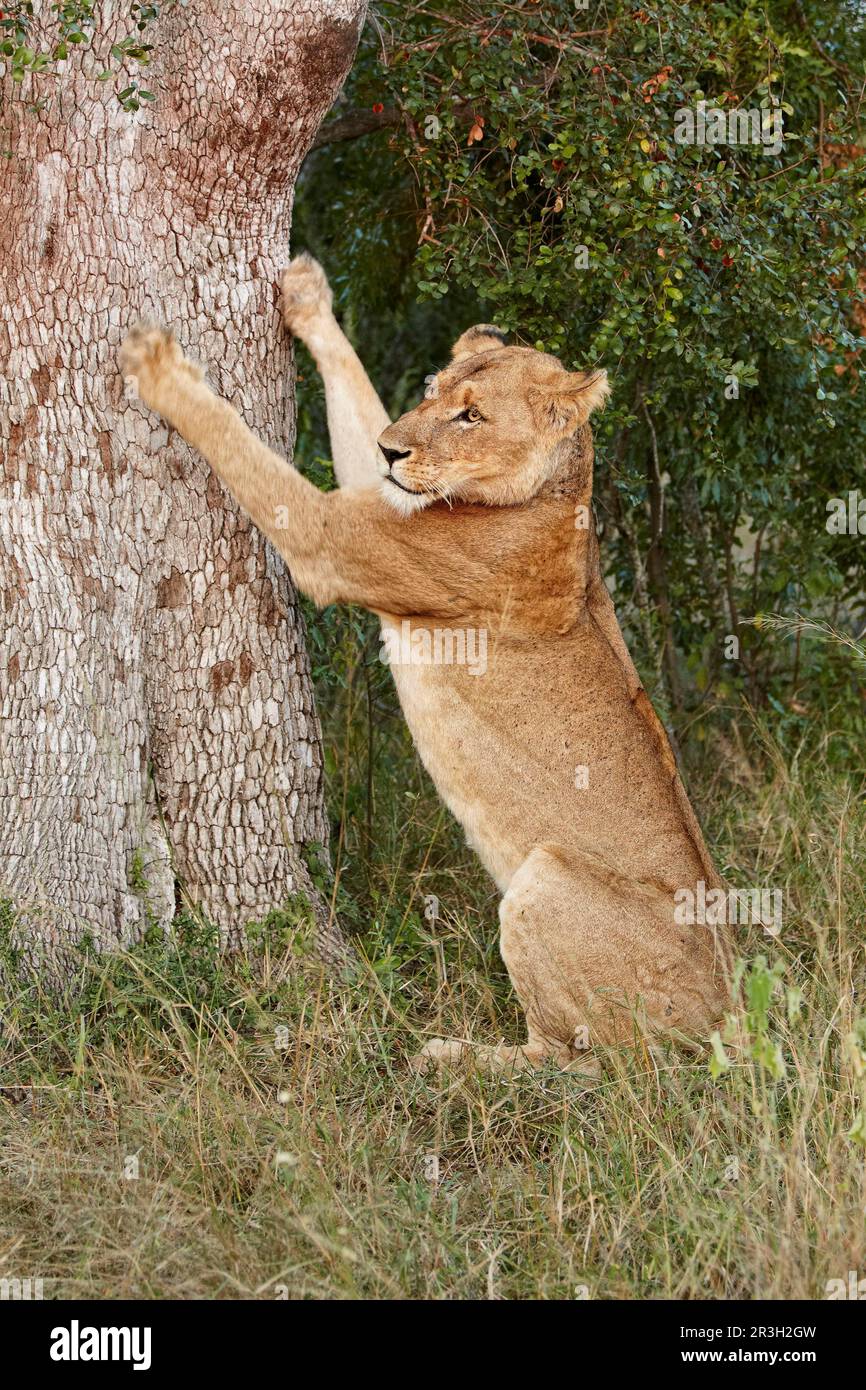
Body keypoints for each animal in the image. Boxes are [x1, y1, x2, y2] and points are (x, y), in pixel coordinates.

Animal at [119, 254, 733, 1075]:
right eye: (431, 393)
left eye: (471, 416)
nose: (393, 449)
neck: (559, 493)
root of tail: (735, 1012)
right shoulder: (382, 498)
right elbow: (355, 399)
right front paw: (308, 296)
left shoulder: (336, 541)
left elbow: (241, 444)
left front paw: (161, 369)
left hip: (545, 881)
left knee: (578, 1063)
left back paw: (448, 1054)